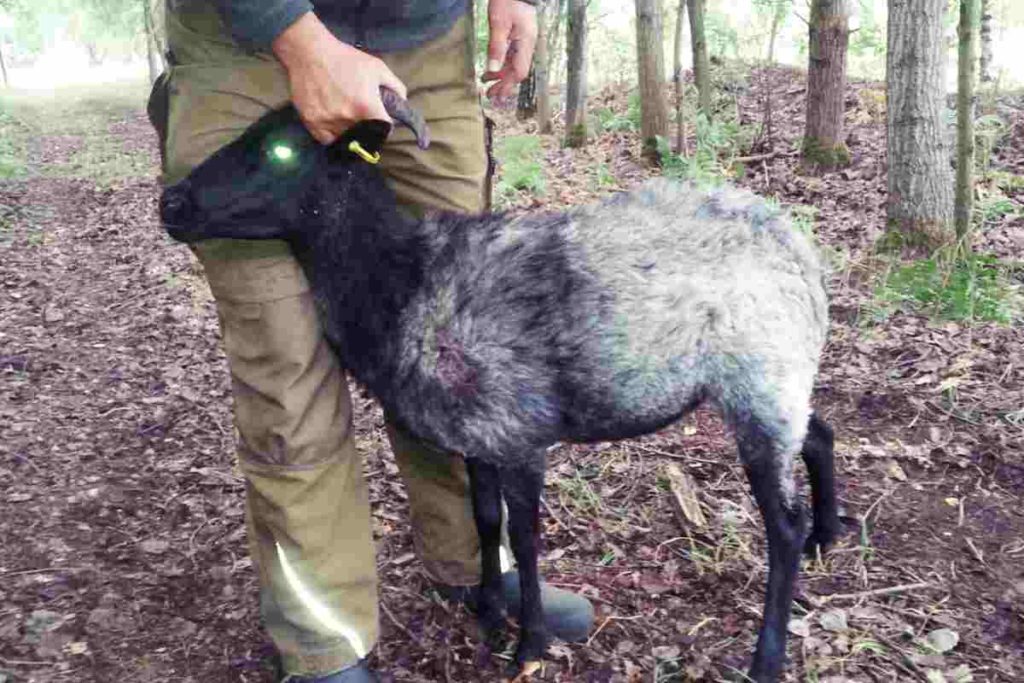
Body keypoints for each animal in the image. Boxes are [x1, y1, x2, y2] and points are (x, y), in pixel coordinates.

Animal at [157, 92, 839, 683]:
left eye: (279, 152)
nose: (171, 202)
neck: (404, 283)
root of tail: (798, 246)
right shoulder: (475, 438)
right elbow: (484, 521)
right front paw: (487, 612)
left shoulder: (518, 437)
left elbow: (525, 538)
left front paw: (528, 644)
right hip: (779, 378)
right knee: (820, 434)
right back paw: (827, 537)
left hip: (758, 384)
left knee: (782, 523)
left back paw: (769, 653)